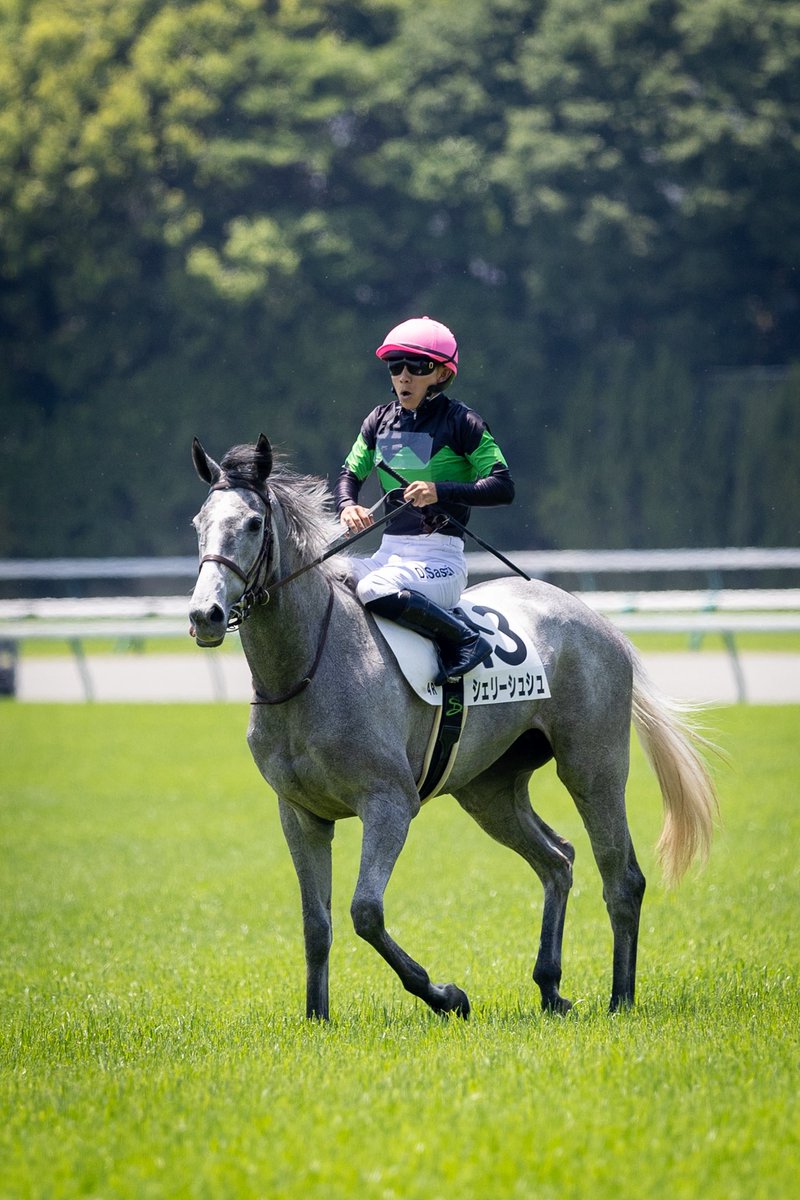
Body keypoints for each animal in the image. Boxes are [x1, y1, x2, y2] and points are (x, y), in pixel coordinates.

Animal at [188, 435, 718, 1021]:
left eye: (253, 522)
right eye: (198, 523)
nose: (205, 615)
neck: (309, 664)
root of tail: (600, 623)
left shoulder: (390, 803)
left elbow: (365, 911)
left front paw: (445, 995)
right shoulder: (300, 814)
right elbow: (315, 924)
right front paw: (316, 1016)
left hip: (593, 767)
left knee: (621, 877)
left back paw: (620, 997)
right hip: (489, 790)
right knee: (557, 860)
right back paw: (550, 986)